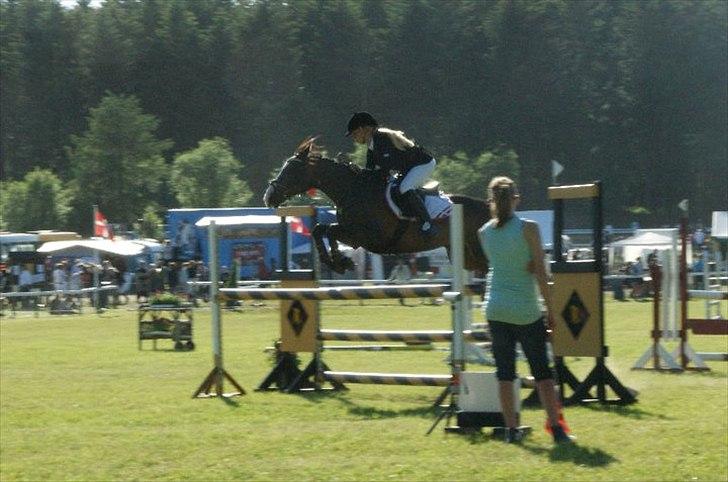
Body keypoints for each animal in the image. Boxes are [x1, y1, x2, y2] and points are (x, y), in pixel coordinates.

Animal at [263, 138, 490, 274]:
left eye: (292, 171)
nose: (268, 197)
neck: (352, 192)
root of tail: (489, 207)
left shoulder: (365, 238)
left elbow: (330, 231)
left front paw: (342, 261)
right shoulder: (353, 234)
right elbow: (320, 230)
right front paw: (337, 263)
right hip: (463, 254)